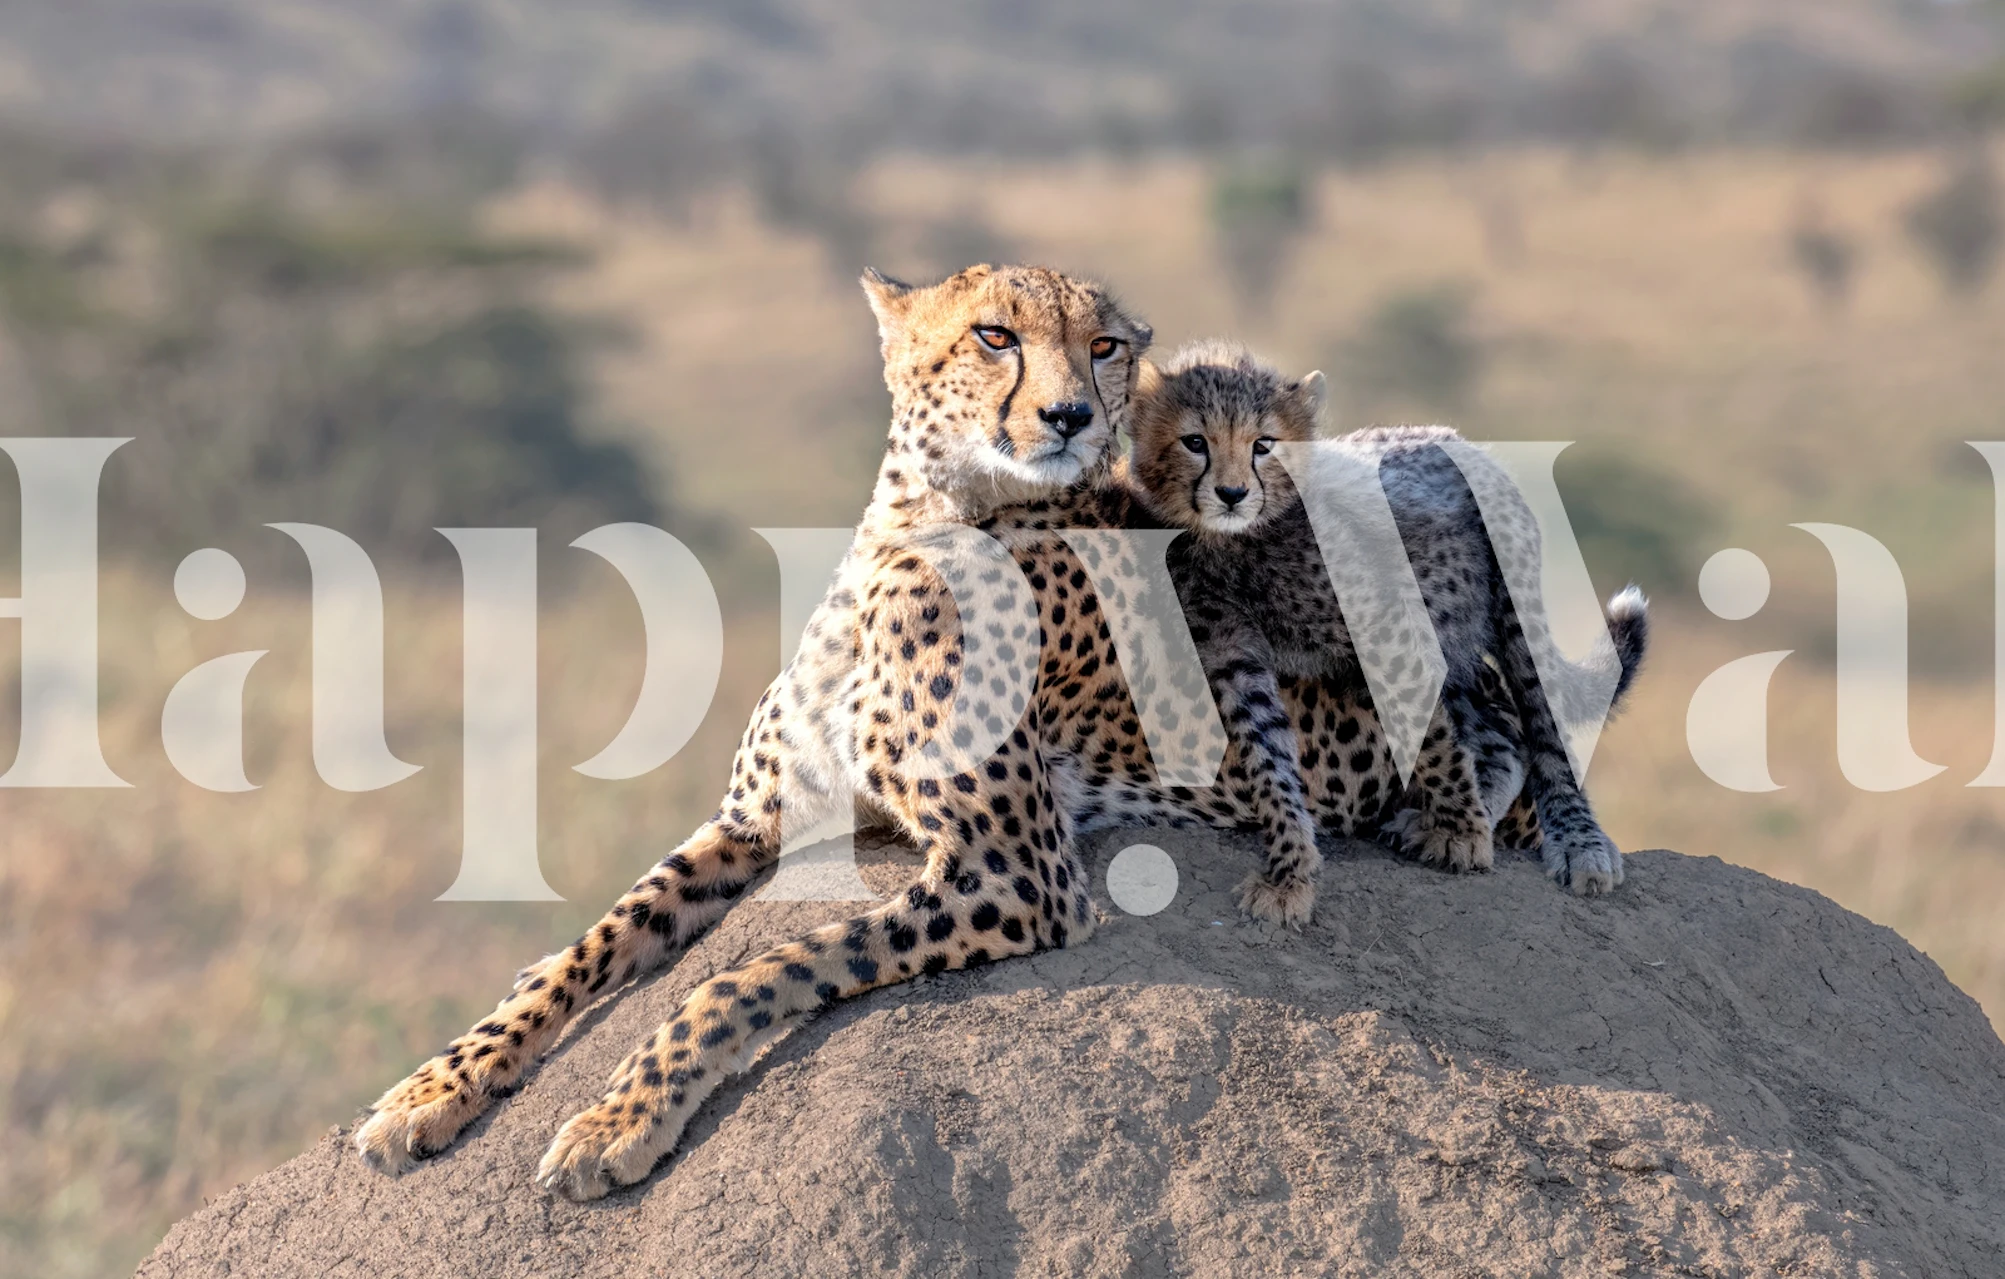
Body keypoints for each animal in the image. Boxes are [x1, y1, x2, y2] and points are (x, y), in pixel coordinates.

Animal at [352, 265, 1425, 1201]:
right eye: (995, 336)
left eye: (1104, 346)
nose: (1071, 416)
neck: (914, 525)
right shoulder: (754, 821)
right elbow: (596, 939)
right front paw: (437, 1084)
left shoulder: (1018, 871)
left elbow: (755, 970)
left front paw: (621, 1116)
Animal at [1123, 340, 1649, 911]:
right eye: (1195, 442)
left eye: (1263, 445)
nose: (1233, 493)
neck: (1237, 545)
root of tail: (1450, 435)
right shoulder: (1230, 658)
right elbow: (1267, 757)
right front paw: (1289, 871)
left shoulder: (1386, 630)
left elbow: (1431, 738)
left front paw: (1462, 833)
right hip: (1447, 636)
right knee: (1499, 737)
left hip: (1509, 606)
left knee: (1541, 721)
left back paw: (1577, 842)